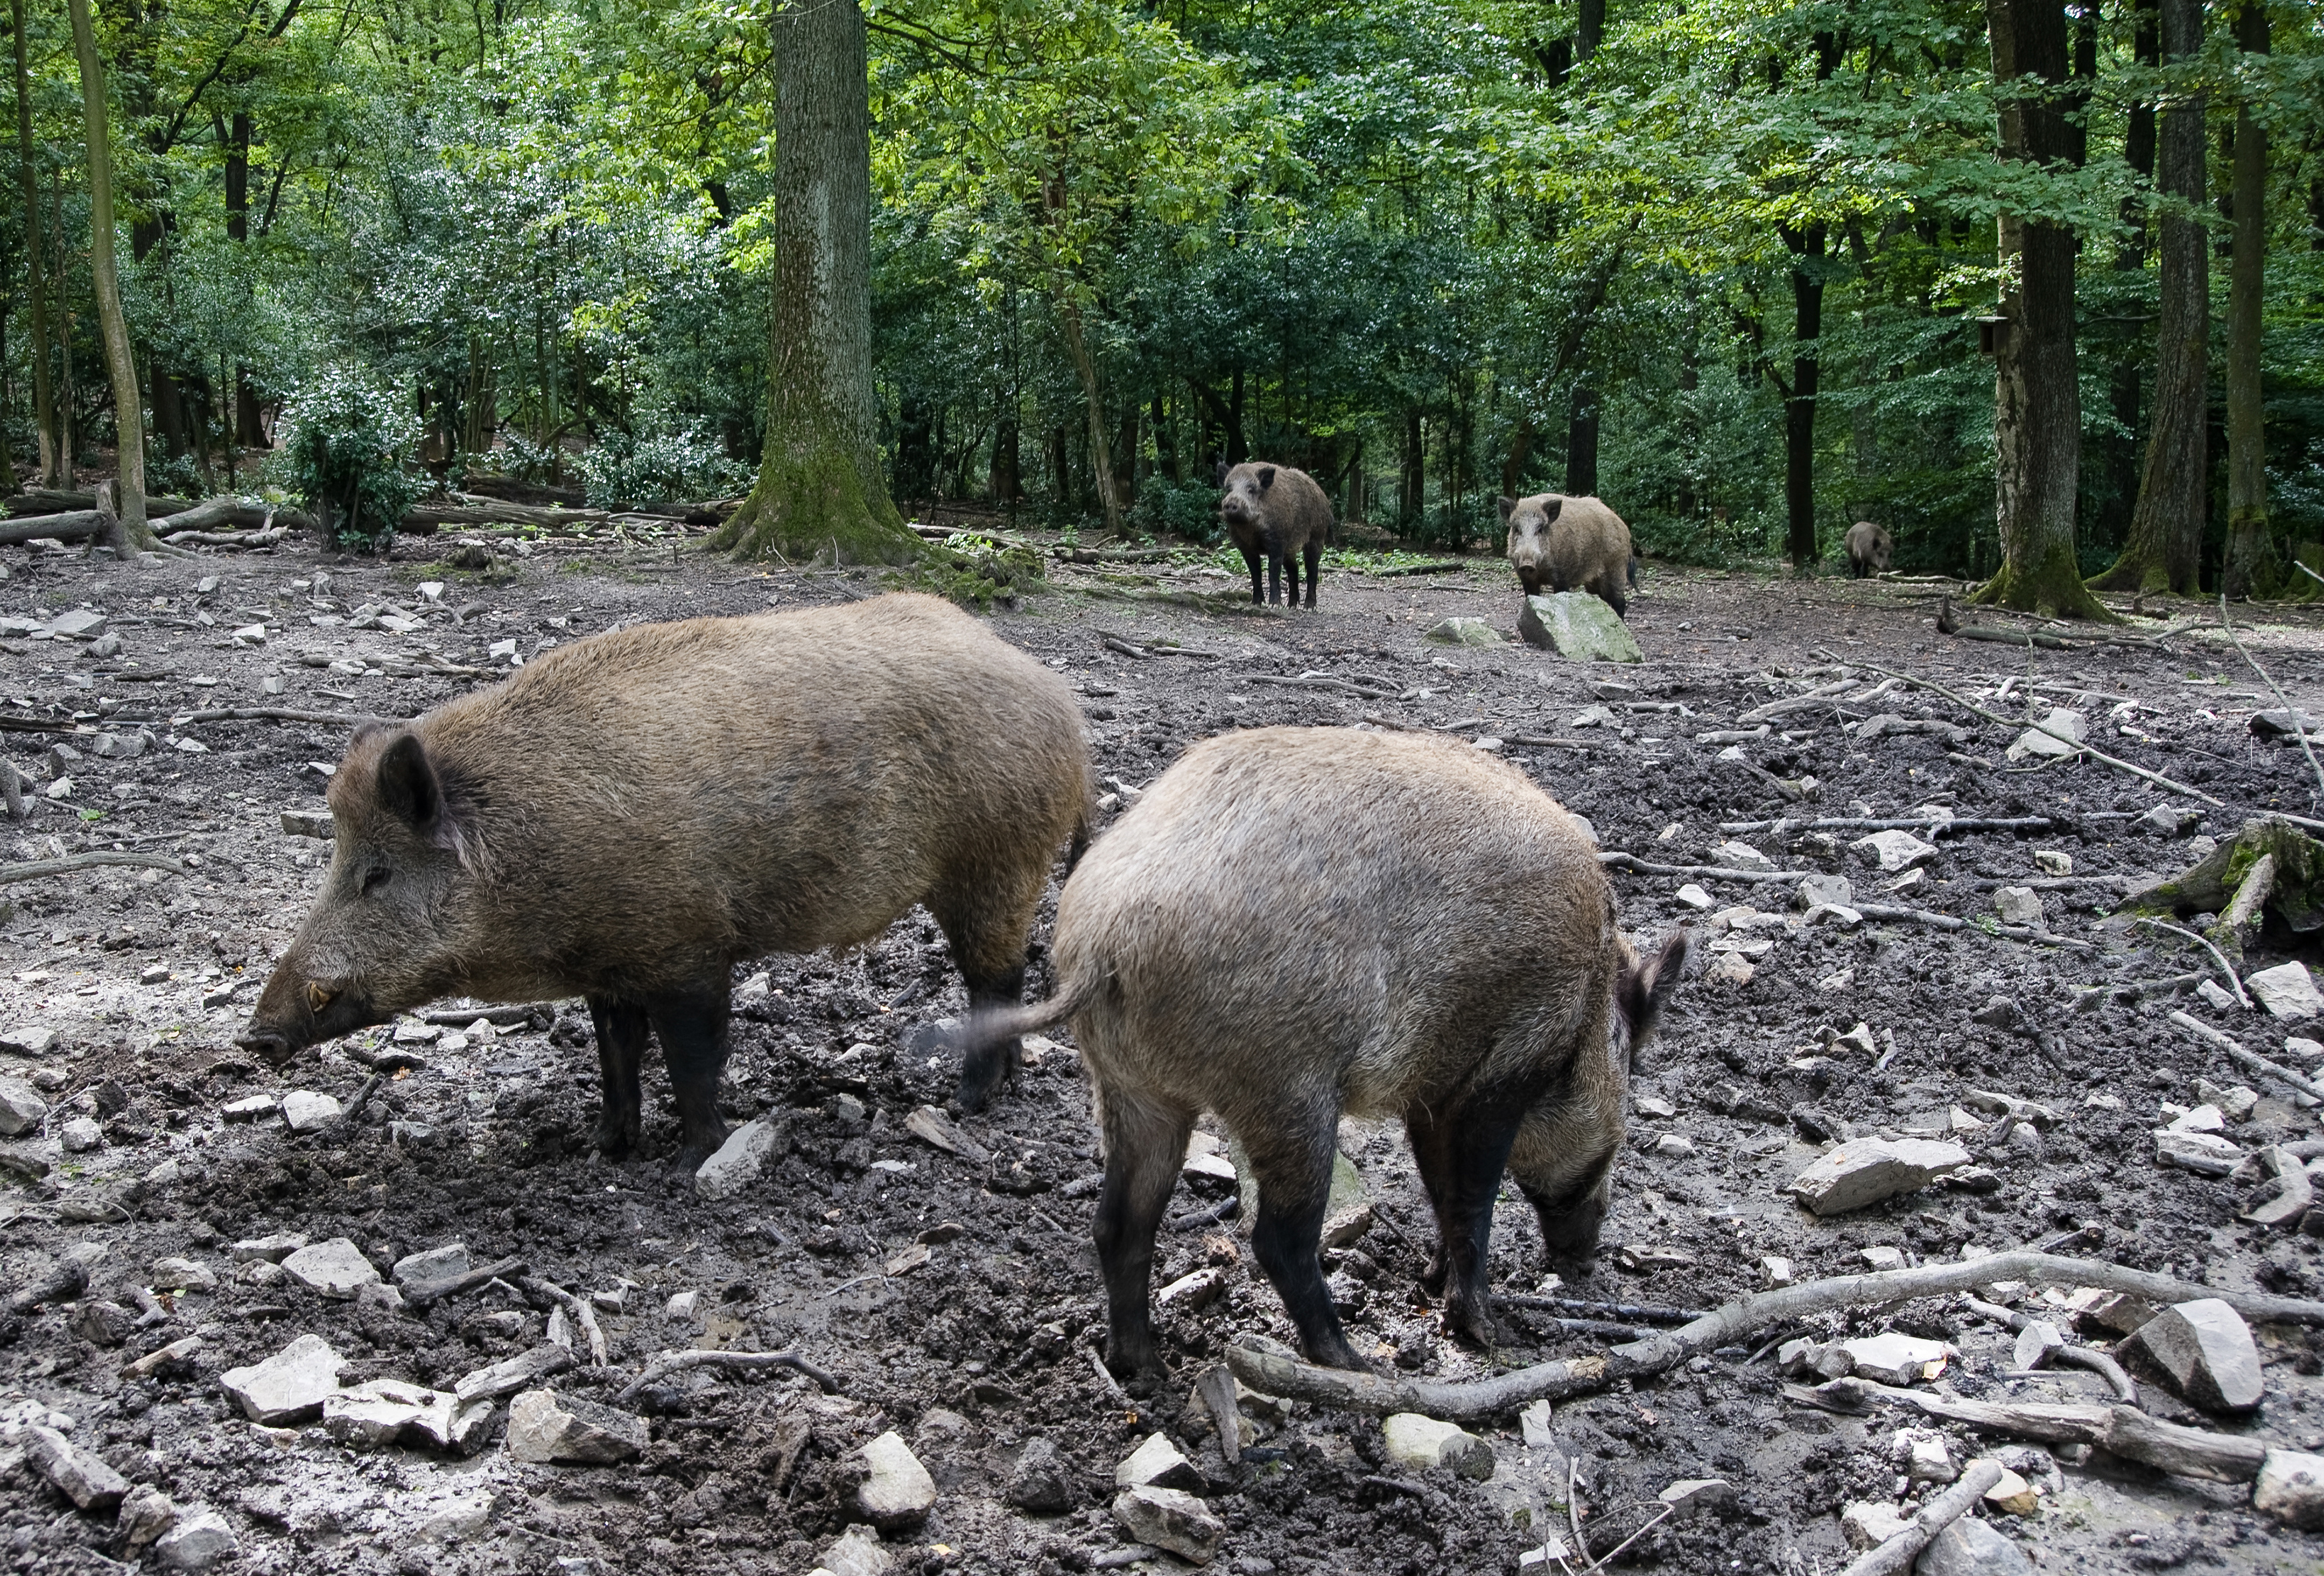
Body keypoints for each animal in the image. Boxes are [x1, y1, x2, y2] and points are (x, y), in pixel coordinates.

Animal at [238, 593, 1093, 1167]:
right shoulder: (612, 963)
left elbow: (693, 1057)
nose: (256, 1035)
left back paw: (967, 1102)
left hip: (994, 863)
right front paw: (602, 1148)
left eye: (377, 875)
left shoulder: (689, 947)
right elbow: (615, 1054)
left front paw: (694, 1160)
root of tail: (1063, 703)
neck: (529, 849)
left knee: (994, 978)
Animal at [951, 727, 1688, 1378]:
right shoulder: (1504, 1067)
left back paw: (1145, 1369)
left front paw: (1433, 1283)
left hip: (1135, 1087)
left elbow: (1440, 1187)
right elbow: (1472, 1197)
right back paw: (1352, 1362)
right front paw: (1488, 1332)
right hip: (1286, 1088)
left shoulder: (1432, 1091)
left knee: (1119, 1225)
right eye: (1622, 1123)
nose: (1586, 1262)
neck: (1587, 1001)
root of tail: (1101, 941)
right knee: (1277, 1238)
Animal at [1214, 460, 1332, 608]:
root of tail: (1324, 498)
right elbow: (1255, 574)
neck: (1250, 529)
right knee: (1294, 568)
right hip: (1290, 548)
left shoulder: (1277, 541)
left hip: (1317, 536)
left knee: (1312, 569)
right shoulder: (1245, 547)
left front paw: (1274, 605)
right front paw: (1256, 604)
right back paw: (1291, 606)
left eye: (1251, 490)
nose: (1231, 503)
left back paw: (1308, 607)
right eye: (1229, 489)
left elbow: (1273, 573)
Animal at [1500, 492, 1636, 617]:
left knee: (1620, 602)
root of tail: (1626, 530)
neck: (1542, 570)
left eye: (1540, 529)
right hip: (1594, 580)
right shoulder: (1526, 579)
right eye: (1517, 529)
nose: (1527, 564)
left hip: (1616, 569)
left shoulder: (1562, 577)